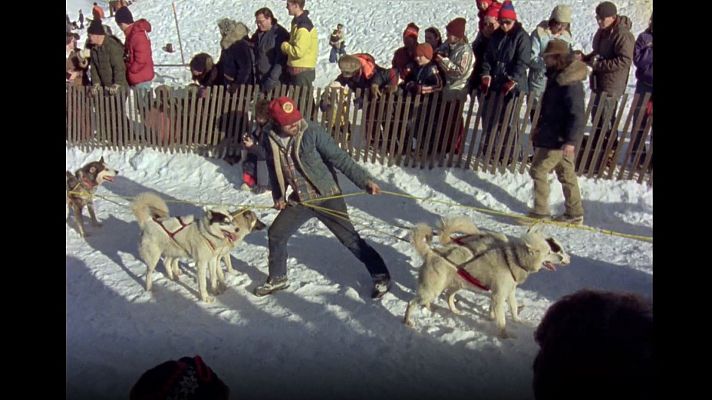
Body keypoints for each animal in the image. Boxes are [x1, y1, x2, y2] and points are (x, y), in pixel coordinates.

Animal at [131, 192, 262, 302]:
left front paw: (215, 291)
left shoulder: (213, 260)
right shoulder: (201, 263)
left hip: (175, 251)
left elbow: (214, 277)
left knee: (167, 262)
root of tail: (148, 222)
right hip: (154, 257)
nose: (237, 229)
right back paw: (149, 289)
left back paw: (173, 277)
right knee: (149, 273)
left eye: (231, 220)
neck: (206, 234)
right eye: (225, 222)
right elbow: (203, 283)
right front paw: (205, 298)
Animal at [404, 219, 572, 338]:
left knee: (447, 296)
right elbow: (502, 320)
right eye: (550, 252)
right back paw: (408, 321)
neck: (513, 259)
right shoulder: (498, 296)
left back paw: (449, 310)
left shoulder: (509, 292)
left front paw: (517, 320)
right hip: (432, 289)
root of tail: (431, 253)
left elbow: (513, 308)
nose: (564, 259)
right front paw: (505, 336)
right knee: (412, 303)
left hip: (455, 285)